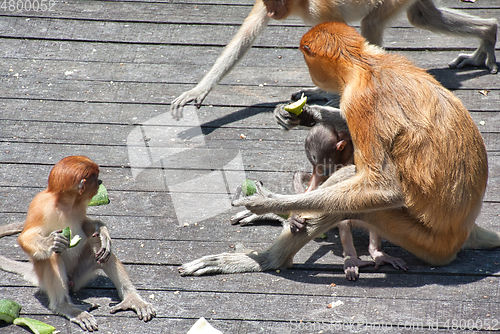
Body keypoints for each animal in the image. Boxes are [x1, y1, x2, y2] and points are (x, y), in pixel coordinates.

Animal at [0, 156, 156, 332]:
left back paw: (132, 298)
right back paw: (66, 307)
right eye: (95, 178)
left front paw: (102, 231)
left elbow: (86, 225)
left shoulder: (79, 207)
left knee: (98, 247)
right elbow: (26, 237)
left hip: (80, 276)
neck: (66, 202)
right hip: (48, 279)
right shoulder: (40, 205)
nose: (100, 181)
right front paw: (52, 241)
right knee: (52, 255)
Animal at [171, 0, 496, 118]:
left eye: (278, 1)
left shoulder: (320, 9)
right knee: (423, 17)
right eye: (269, 2)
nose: (274, 9)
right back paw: (488, 33)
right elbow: (244, 38)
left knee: (371, 25)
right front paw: (197, 91)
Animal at [177, 21, 496, 276]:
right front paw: (304, 114)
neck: (365, 63)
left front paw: (266, 203)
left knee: (351, 187)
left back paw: (266, 258)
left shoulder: (360, 99)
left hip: (420, 238)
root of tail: (464, 230)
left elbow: (385, 187)